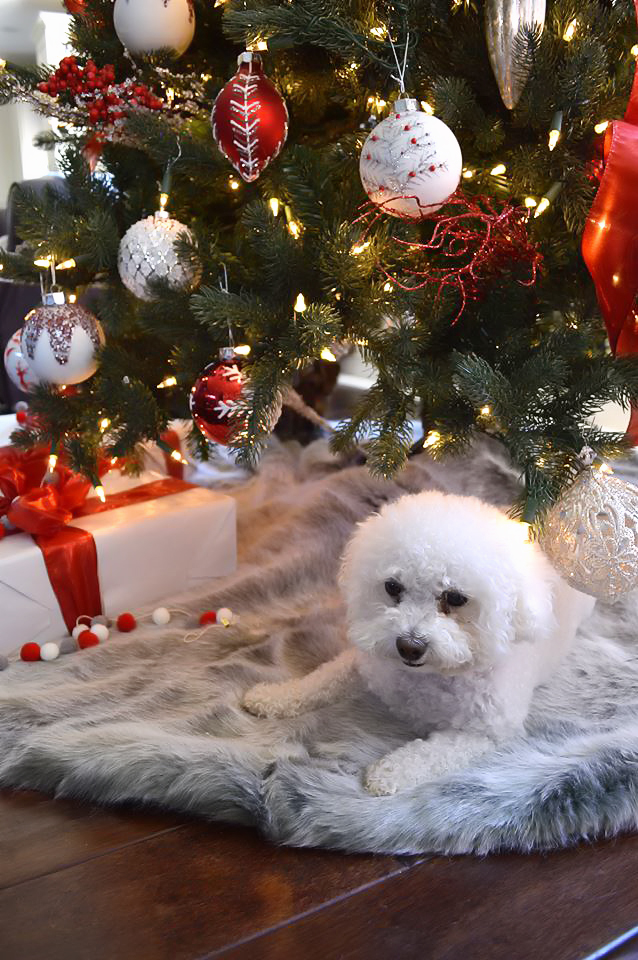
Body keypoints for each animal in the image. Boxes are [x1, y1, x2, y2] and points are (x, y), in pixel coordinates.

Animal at [244, 492, 596, 792]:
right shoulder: (366, 664)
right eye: (392, 586)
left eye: (455, 598)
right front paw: (275, 697)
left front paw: (389, 772)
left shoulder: (488, 732)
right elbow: (320, 679)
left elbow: (429, 754)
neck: (427, 677)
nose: (409, 646)